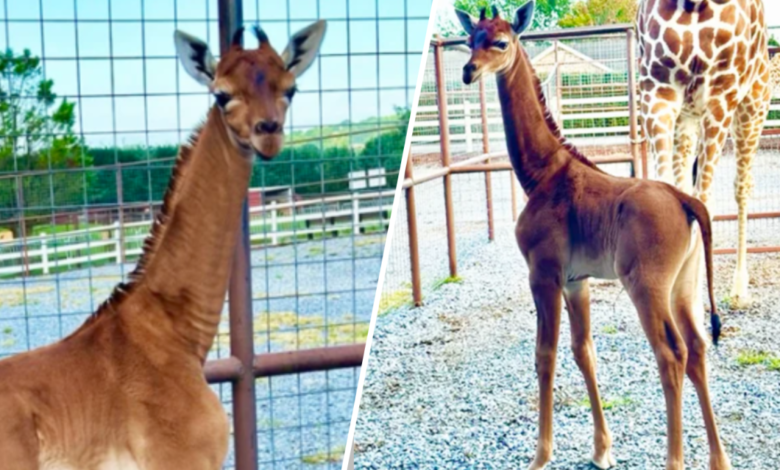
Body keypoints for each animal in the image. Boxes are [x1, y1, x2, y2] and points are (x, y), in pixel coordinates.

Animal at [456, 2, 728, 469]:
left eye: (501, 42)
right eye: (469, 38)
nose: (468, 71)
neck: (541, 173)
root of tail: (685, 200)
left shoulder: (543, 274)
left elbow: (545, 355)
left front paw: (541, 455)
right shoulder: (575, 280)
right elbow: (584, 351)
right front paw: (602, 449)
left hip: (647, 286)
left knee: (671, 353)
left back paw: (674, 459)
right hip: (684, 284)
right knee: (696, 348)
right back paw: (719, 459)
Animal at [637, 0, 772, 309]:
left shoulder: (721, 96)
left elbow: (704, 201)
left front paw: (694, 306)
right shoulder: (657, 90)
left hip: (752, 107)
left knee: (742, 187)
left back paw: (739, 289)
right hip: (687, 118)